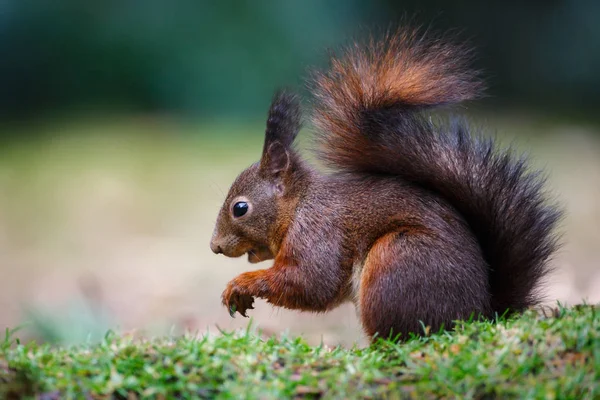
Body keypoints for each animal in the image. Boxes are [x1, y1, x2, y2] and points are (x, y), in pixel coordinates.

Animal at [209, 28, 560, 340]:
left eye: (240, 208)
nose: (215, 247)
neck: (299, 207)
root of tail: (481, 315)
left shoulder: (320, 233)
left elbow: (311, 283)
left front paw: (241, 283)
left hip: (396, 261)